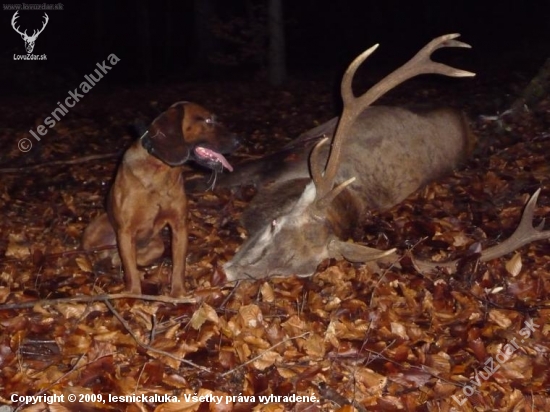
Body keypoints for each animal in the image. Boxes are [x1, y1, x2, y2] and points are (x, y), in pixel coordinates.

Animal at [83, 102, 238, 296]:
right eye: (208, 120)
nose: (238, 141)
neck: (161, 171)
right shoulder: (125, 231)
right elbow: (131, 271)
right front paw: (133, 295)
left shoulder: (179, 226)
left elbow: (179, 265)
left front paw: (178, 293)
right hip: (95, 231)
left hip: (156, 245)